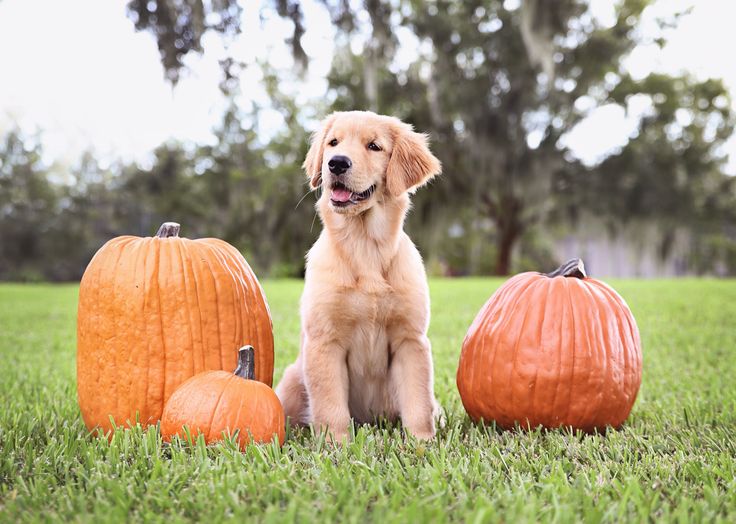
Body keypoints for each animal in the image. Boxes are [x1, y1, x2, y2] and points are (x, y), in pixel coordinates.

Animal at [274, 110, 436, 442]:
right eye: (333, 143)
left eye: (374, 146)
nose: (336, 163)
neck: (365, 247)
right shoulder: (325, 341)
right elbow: (330, 405)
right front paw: (336, 445)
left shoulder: (410, 340)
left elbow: (418, 401)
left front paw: (421, 443)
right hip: (293, 378)